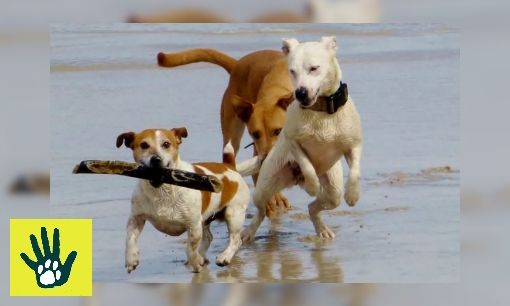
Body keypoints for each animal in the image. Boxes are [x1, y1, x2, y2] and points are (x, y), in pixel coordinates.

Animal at [116, 126, 251, 272]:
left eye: (166, 144)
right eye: (144, 145)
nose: (156, 159)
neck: (162, 191)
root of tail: (229, 166)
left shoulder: (193, 226)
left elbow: (190, 250)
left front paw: (196, 263)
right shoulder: (136, 218)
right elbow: (129, 239)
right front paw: (131, 259)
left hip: (233, 214)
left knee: (236, 240)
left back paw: (224, 257)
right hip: (205, 219)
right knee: (208, 237)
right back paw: (202, 255)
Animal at [238, 35, 362, 241]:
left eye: (314, 68)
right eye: (292, 71)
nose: (300, 92)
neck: (321, 113)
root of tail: (295, 180)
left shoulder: (354, 145)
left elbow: (355, 171)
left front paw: (352, 194)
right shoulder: (294, 143)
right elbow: (307, 165)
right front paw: (312, 185)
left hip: (333, 194)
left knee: (313, 207)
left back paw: (322, 228)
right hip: (264, 187)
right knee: (261, 210)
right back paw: (248, 233)